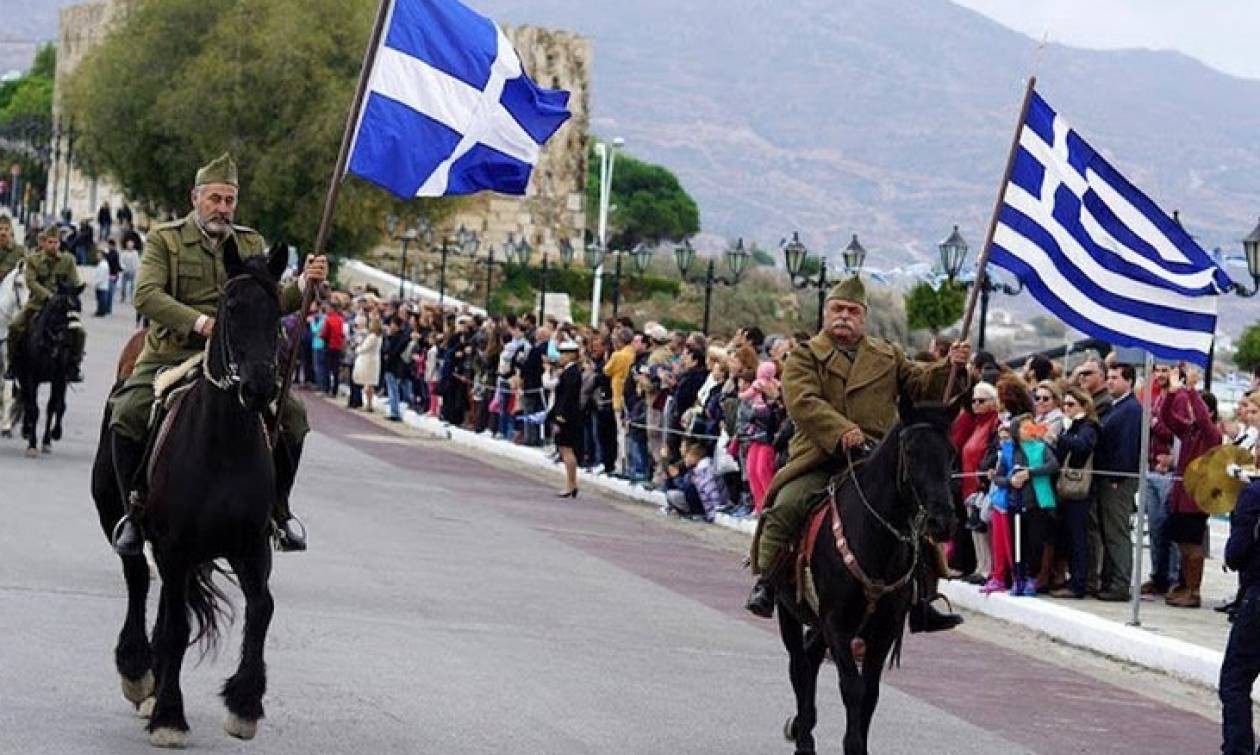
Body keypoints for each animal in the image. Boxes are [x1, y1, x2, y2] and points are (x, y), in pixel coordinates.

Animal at [15, 277, 82, 453]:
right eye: (59, 305)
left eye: (78, 307)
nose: (67, 339)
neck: (50, 343)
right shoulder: (30, 377)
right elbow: (34, 408)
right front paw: (32, 443)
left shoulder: (60, 378)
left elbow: (56, 406)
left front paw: (52, 436)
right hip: (23, 377)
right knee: (27, 401)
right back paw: (26, 429)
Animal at [93, 239, 289, 746]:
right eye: (230, 306)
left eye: (279, 310)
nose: (260, 387)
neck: (225, 443)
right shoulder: (175, 545)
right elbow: (178, 626)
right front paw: (169, 715)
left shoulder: (251, 546)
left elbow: (262, 608)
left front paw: (244, 704)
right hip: (120, 518)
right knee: (138, 579)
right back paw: (138, 673)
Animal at [771, 398, 957, 751]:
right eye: (910, 451)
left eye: (952, 452)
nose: (943, 521)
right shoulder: (836, 622)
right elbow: (852, 687)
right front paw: (852, 743)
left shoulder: (883, 629)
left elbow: (870, 692)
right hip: (790, 610)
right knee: (799, 664)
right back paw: (804, 738)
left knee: (810, 658)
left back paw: (803, 725)